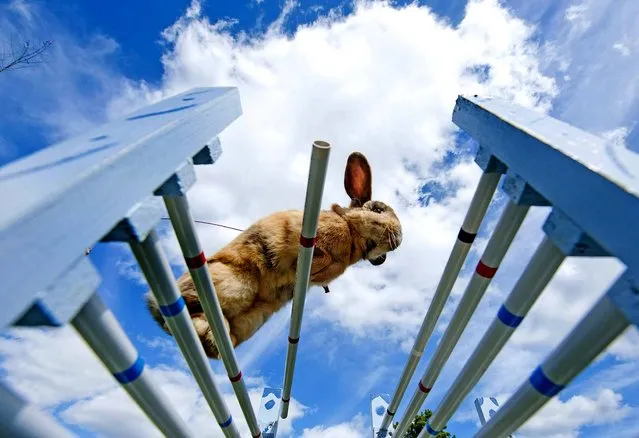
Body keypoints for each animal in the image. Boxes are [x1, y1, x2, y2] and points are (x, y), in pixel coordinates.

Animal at [148, 152, 402, 358]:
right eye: (377, 209)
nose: (399, 239)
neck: (350, 231)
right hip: (234, 285)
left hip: (253, 319)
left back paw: (215, 341)